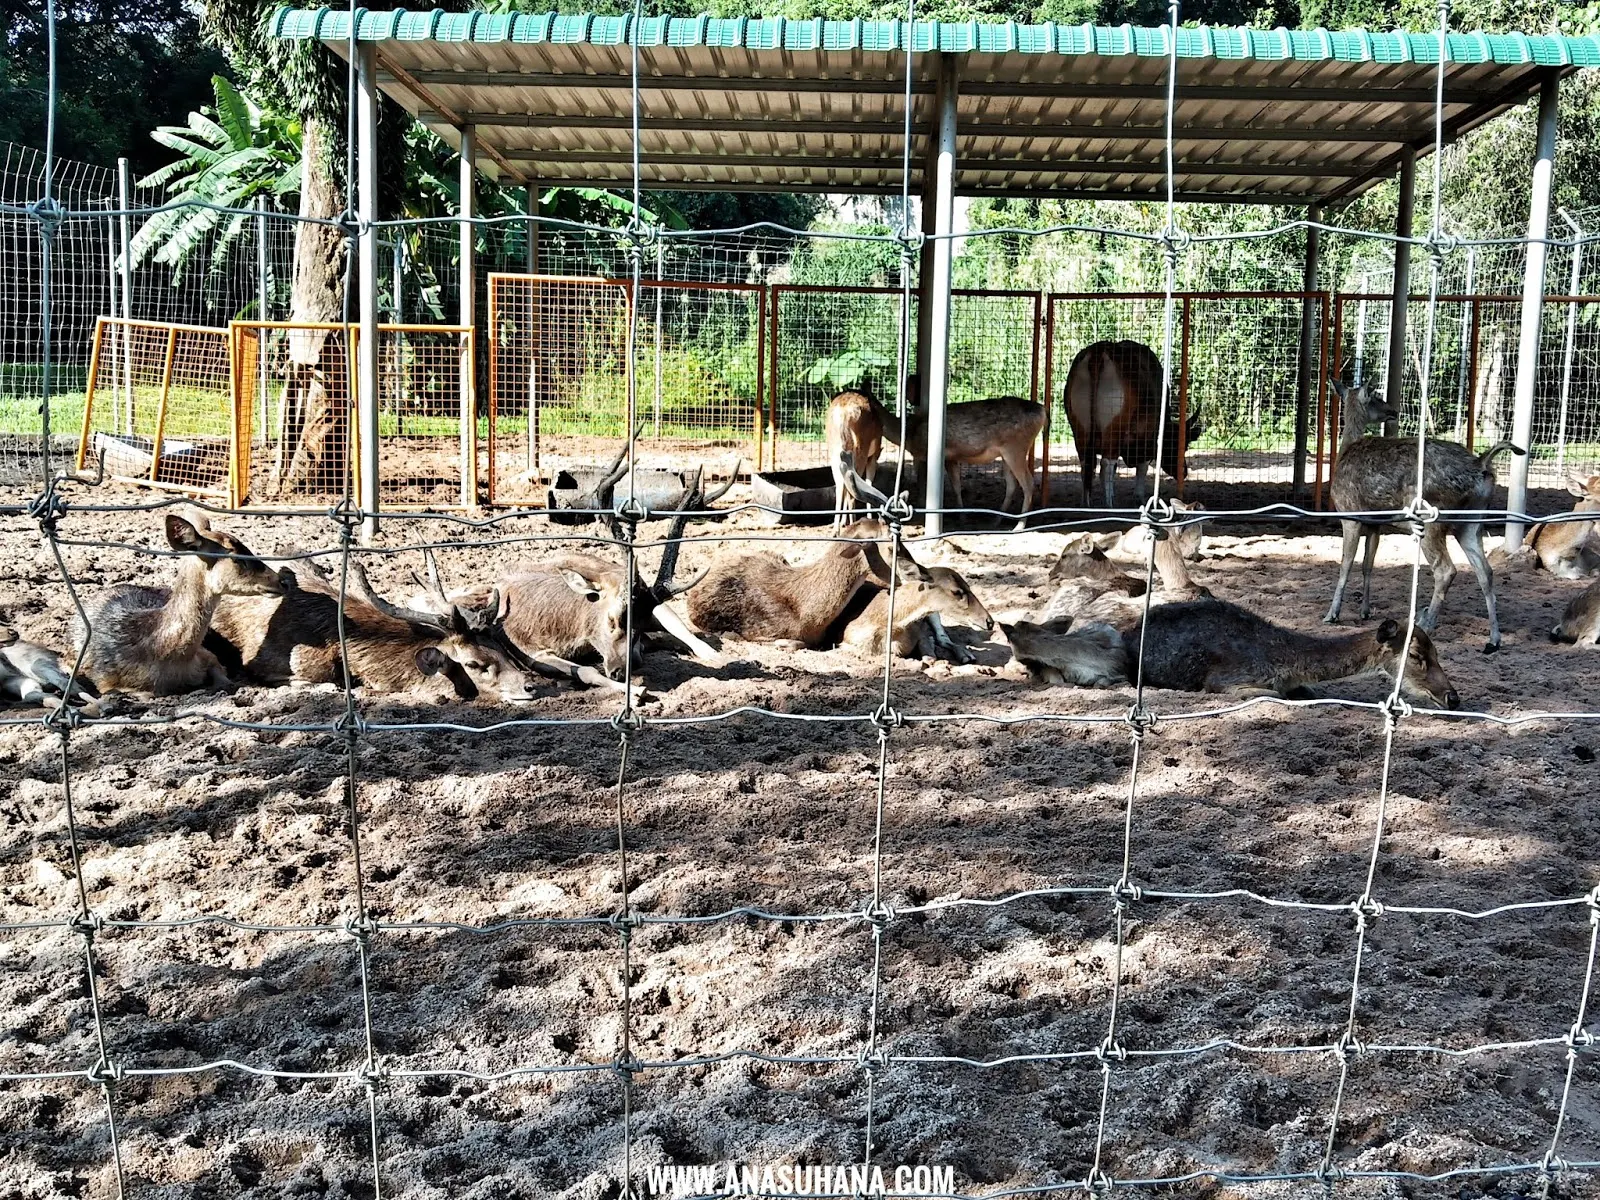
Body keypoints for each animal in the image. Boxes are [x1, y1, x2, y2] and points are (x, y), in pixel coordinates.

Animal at [78, 515, 288, 700]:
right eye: (236, 558)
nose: (281, 581)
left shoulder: (207, 654)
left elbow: (225, 679)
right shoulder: (106, 682)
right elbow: (143, 694)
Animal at [1062, 339, 1203, 508]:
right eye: (1183, 446)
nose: (1184, 471)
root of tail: (1099, 351)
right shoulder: (1147, 438)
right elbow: (1142, 467)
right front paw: (1139, 496)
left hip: (1080, 430)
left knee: (1086, 464)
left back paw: (1086, 503)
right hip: (1114, 429)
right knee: (1106, 465)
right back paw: (1109, 505)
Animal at [1324, 380, 1523, 652]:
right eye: (1377, 397)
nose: (1393, 410)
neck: (1344, 451)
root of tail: (1481, 466)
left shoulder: (1349, 513)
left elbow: (1345, 564)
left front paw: (1332, 614)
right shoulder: (1375, 524)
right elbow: (1367, 564)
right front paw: (1365, 611)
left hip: (1431, 519)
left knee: (1446, 569)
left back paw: (1426, 623)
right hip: (1471, 522)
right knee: (1486, 571)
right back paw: (1493, 639)